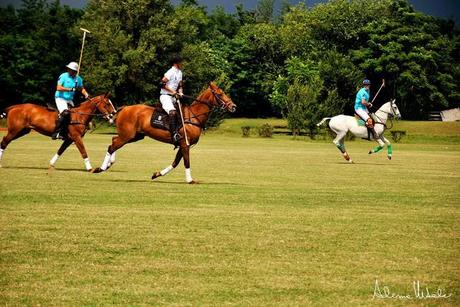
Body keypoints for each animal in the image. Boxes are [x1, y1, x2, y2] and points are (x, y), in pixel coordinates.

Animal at [93, 82, 237, 184]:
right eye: (220, 94)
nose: (233, 106)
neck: (194, 117)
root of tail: (124, 108)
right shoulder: (185, 144)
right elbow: (186, 162)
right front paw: (190, 180)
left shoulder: (183, 145)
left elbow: (175, 163)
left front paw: (157, 174)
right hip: (127, 135)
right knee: (112, 146)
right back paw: (100, 168)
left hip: (135, 136)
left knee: (113, 141)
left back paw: (108, 164)